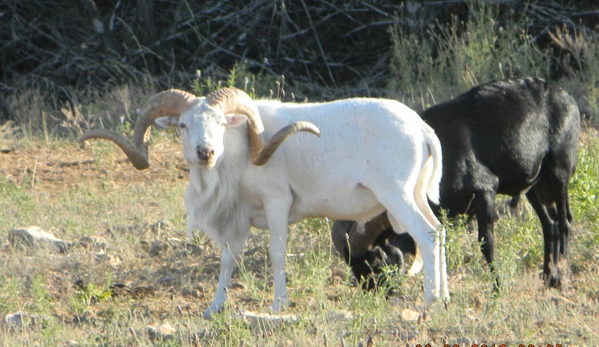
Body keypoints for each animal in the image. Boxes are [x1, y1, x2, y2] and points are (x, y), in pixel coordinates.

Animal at [332, 77, 580, 292]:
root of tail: (566, 97)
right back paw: (548, 278)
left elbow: (486, 242)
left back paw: (562, 279)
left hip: (558, 171)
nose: (374, 291)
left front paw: (497, 289)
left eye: (375, 259)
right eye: (352, 264)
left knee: (565, 221)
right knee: (550, 225)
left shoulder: (485, 190)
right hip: (533, 186)